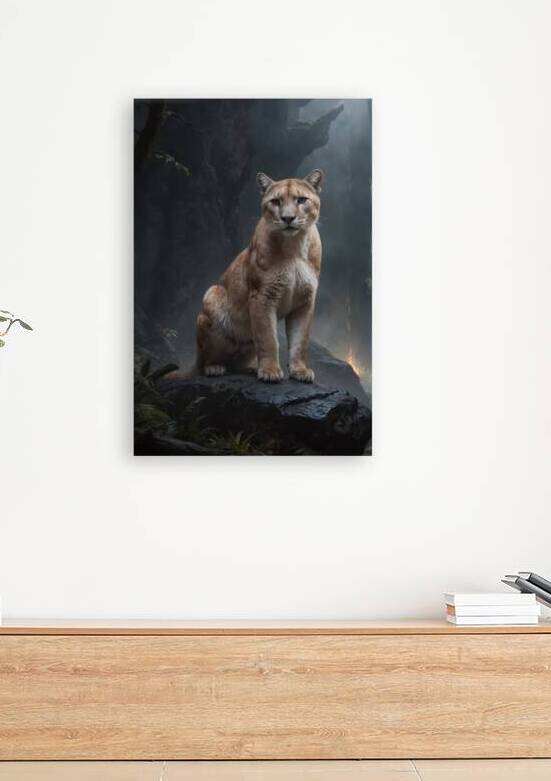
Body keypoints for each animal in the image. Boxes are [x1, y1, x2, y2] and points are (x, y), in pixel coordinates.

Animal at [194, 169, 323, 383]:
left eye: (301, 200)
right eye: (276, 201)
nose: (288, 218)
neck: (294, 246)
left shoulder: (304, 301)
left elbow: (300, 340)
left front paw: (300, 371)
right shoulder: (262, 295)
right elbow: (267, 337)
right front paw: (270, 371)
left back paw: (250, 368)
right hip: (212, 294)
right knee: (205, 360)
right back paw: (215, 368)